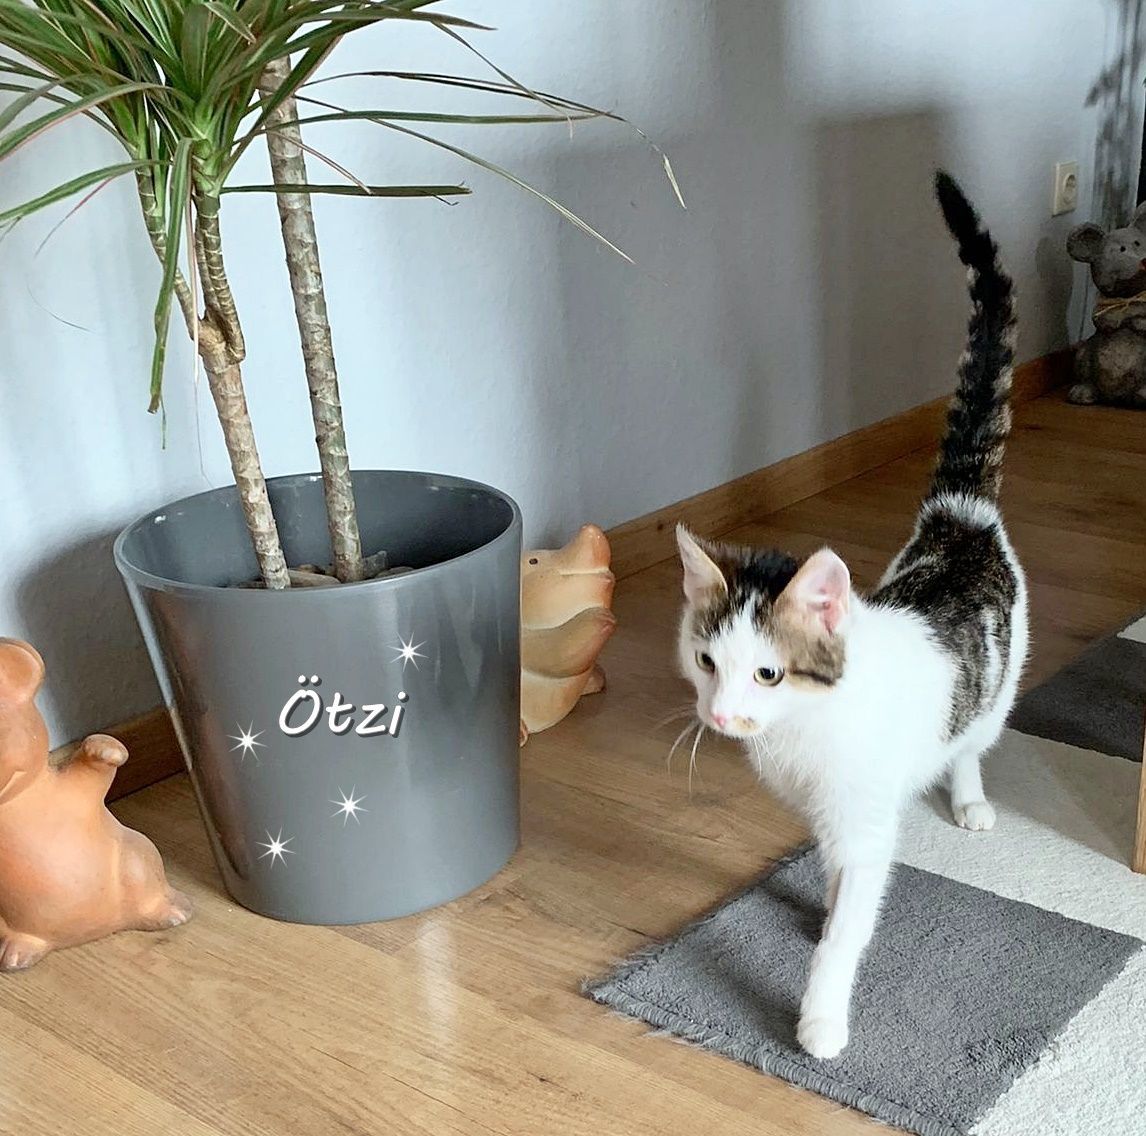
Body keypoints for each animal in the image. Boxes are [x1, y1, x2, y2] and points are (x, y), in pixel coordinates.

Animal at [674, 171, 1027, 1060]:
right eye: (706, 662)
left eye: (769, 673)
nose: (722, 717)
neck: (802, 736)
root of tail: (962, 516)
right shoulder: (825, 814)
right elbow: (835, 879)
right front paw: (828, 905)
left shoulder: (863, 821)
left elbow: (848, 928)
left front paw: (822, 1016)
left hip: (998, 684)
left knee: (972, 740)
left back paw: (968, 797)